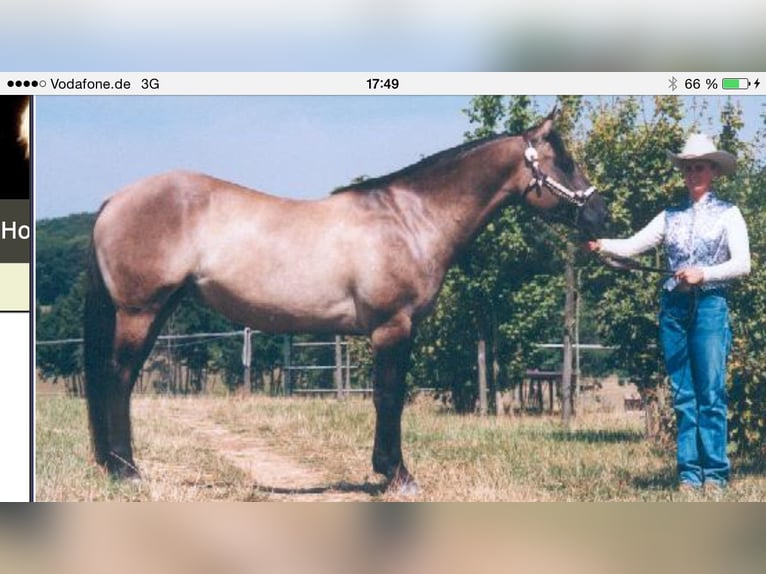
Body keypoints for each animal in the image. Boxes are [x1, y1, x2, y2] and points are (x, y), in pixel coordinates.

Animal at [84, 111, 608, 493]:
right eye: (564, 161)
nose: (601, 213)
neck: (410, 218)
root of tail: (113, 201)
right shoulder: (393, 327)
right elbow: (389, 397)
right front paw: (397, 475)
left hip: (156, 311)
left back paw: (116, 465)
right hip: (139, 312)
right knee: (119, 378)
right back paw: (126, 470)